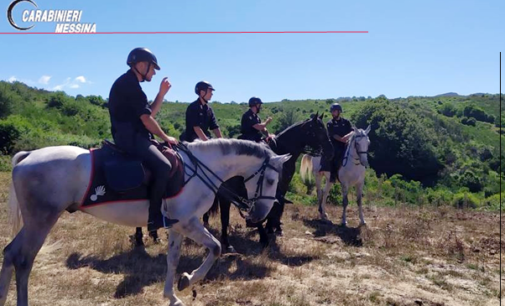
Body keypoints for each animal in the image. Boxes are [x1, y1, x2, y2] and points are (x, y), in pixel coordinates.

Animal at [0, 139, 290, 306]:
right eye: (271, 180)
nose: (259, 215)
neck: (201, 168)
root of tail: (28, 156)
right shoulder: (189, 223)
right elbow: (216, 248)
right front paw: (189, 279)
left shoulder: (177, 225)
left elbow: (173, 259)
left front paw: (173, 294)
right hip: (42, 220)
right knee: (23, 260)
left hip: (35, 221)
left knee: (10, 253)